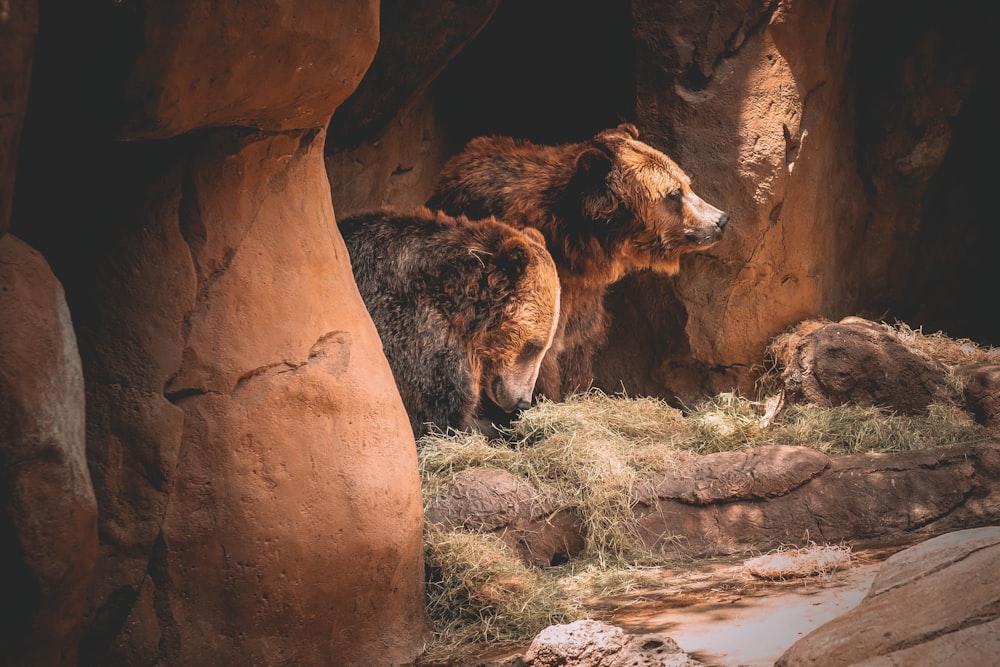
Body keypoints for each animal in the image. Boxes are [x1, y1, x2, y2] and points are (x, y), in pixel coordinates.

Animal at [426, 122, 732, 402]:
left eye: (685, 182)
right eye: (673, 194)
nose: (721, 219)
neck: (575, 245)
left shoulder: (583, 295)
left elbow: (579, 344)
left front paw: (576, 391)